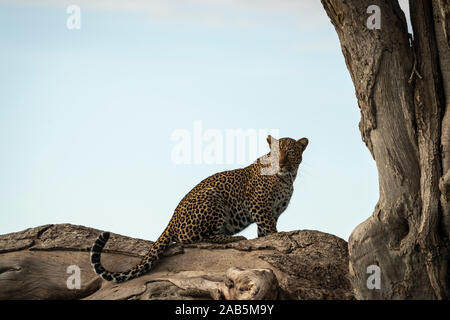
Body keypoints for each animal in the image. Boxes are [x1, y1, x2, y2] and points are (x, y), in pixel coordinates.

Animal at [91, 135, 310, 282]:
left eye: (290, 153)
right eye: (276, 153)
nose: (281, 164)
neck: (287, 178)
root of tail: (172, 217)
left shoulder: (272, 211)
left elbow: (264, 233)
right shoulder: (260, 205)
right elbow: (270, 229)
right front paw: (276, 239)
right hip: (213, 198)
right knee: (197, 238)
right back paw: (234, 238)